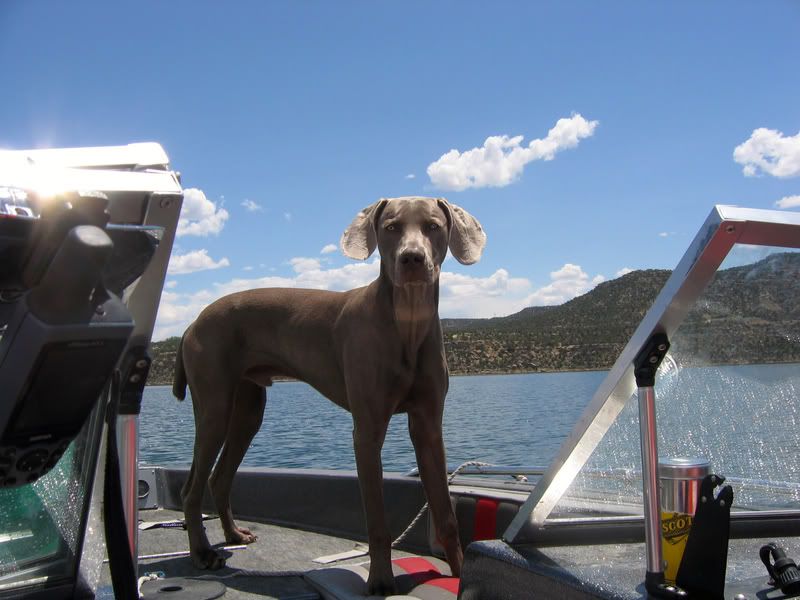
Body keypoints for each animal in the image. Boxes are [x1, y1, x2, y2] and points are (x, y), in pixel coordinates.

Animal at [173, 197, 484, 596]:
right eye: (391, 227)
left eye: (433, 226)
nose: (412, 259)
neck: (407, 324)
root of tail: (192, 323)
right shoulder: (367, 431)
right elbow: (377, 522)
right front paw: (380, 581)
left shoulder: (429, 426)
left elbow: (445, 514)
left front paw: (459, 574)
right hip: (214, 406)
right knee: (192, 488)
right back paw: (202, 553)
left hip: (247, 410)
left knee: (219, 477)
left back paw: (233, 535)